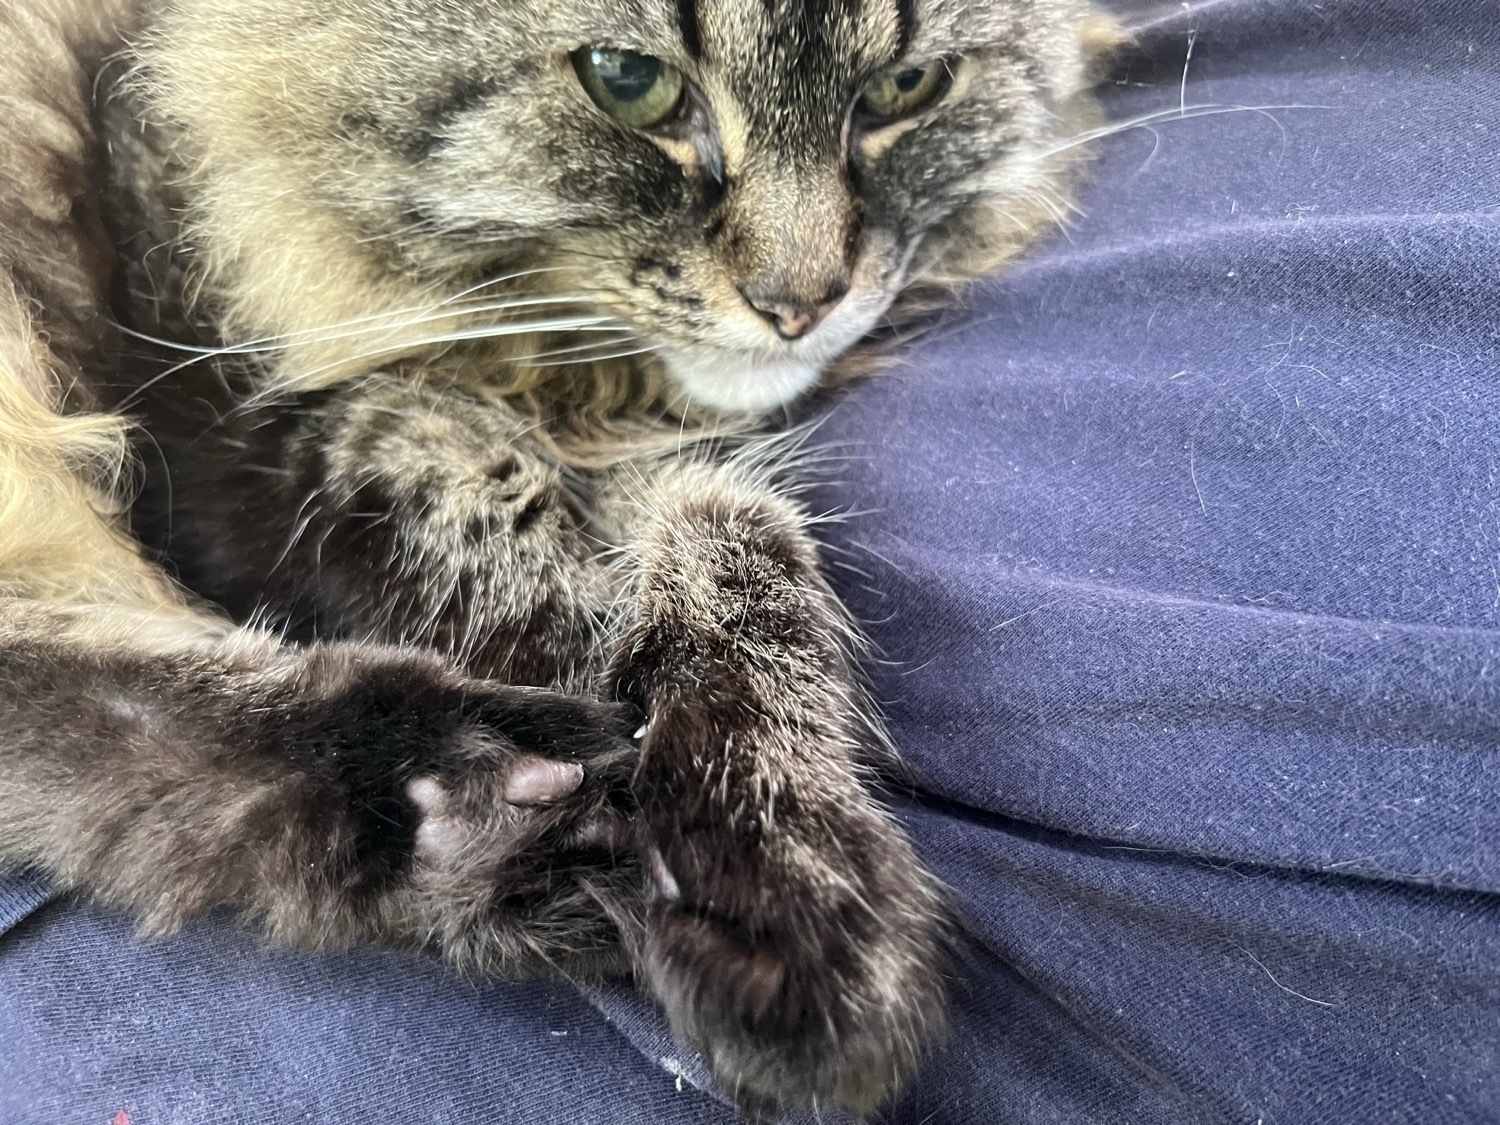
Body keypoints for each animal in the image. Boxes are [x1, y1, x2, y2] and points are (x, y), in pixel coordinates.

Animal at [0, 0, 1122, 1116]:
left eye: (906, 90)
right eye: (628, 81)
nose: (802, 303)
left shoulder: (678, 468)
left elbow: (742, 563)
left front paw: (774, 851)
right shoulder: (246, 422)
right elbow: (502, 554)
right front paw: (755, 884)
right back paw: (505, 795)